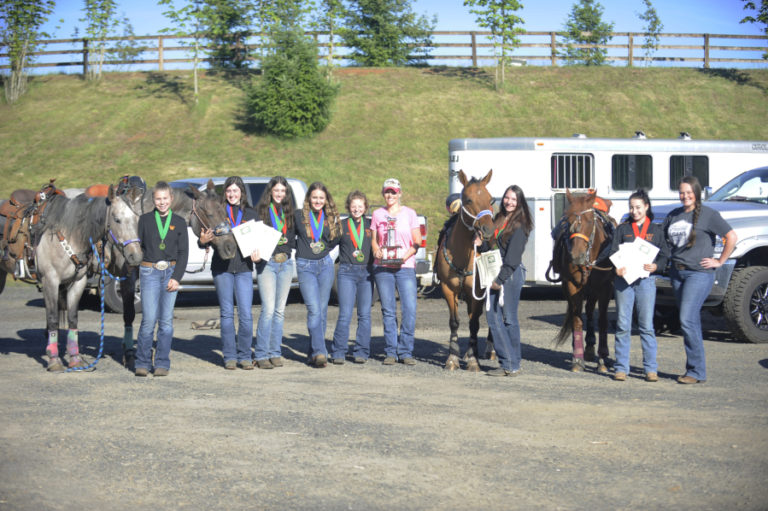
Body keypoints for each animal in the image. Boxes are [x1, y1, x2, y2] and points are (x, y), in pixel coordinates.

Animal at [106, 181, 237, 368]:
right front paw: (131, 353)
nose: (230, 248)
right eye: (208, 213)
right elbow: (131, 313)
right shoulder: (128, 277)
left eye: (225, 212)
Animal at [436, 171, 496, 372]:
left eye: (490, 199)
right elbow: (455, 322)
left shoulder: (476, 291)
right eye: (468, 199)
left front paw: (473, 360)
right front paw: (452, 358)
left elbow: (474, 324)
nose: (488, 229)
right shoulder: (448, 289)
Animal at [548, 190, 616, 374]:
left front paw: (602, 358)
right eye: (567, 220)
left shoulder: (605, 288)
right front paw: (577, 359)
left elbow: (603, 321)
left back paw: (592, 347)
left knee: (591, 311)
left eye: (589, 221)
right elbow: (577, 320)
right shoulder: (572, 286)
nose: (576, 255)